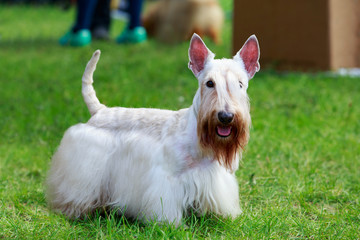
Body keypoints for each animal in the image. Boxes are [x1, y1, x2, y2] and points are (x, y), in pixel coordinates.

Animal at [46, 34, 260, 225]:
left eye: (240, 84)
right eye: (209, 83)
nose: (226, 117)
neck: (199, 141)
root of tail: (100, 110)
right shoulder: (166, 180)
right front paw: (171, 224)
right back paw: (73, 208)